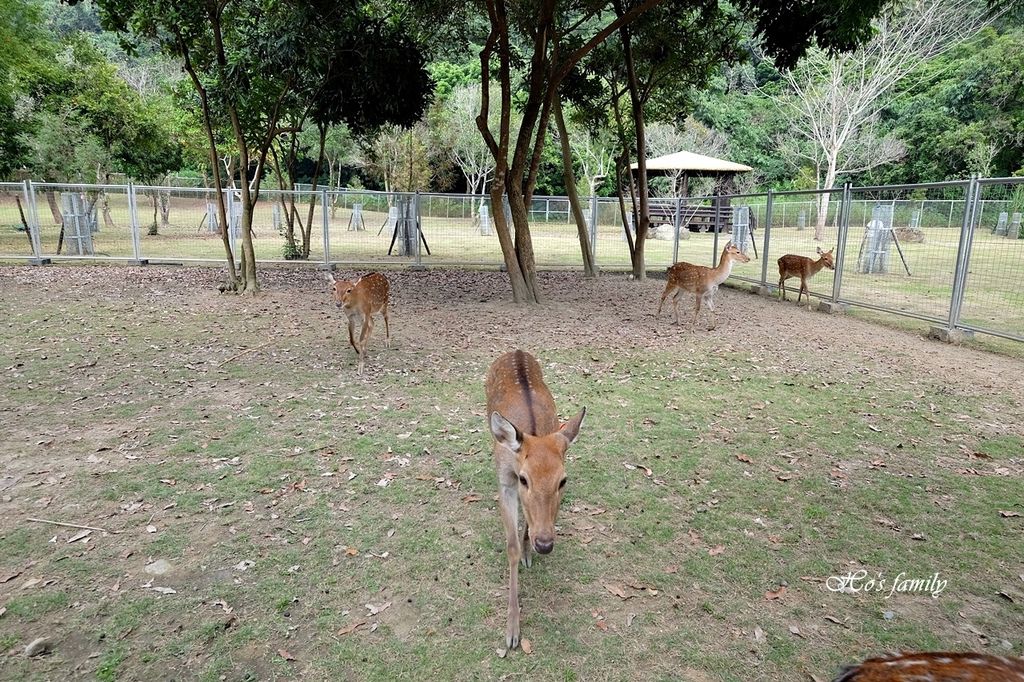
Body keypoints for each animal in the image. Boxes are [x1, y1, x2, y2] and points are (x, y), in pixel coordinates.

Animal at [485, 350, 589, 647]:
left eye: (563, 480)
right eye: (524, 479)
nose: (544, 545)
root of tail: (516, 351)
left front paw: (528, 552)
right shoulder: (505, 482)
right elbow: (510, 547)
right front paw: (512, 630)